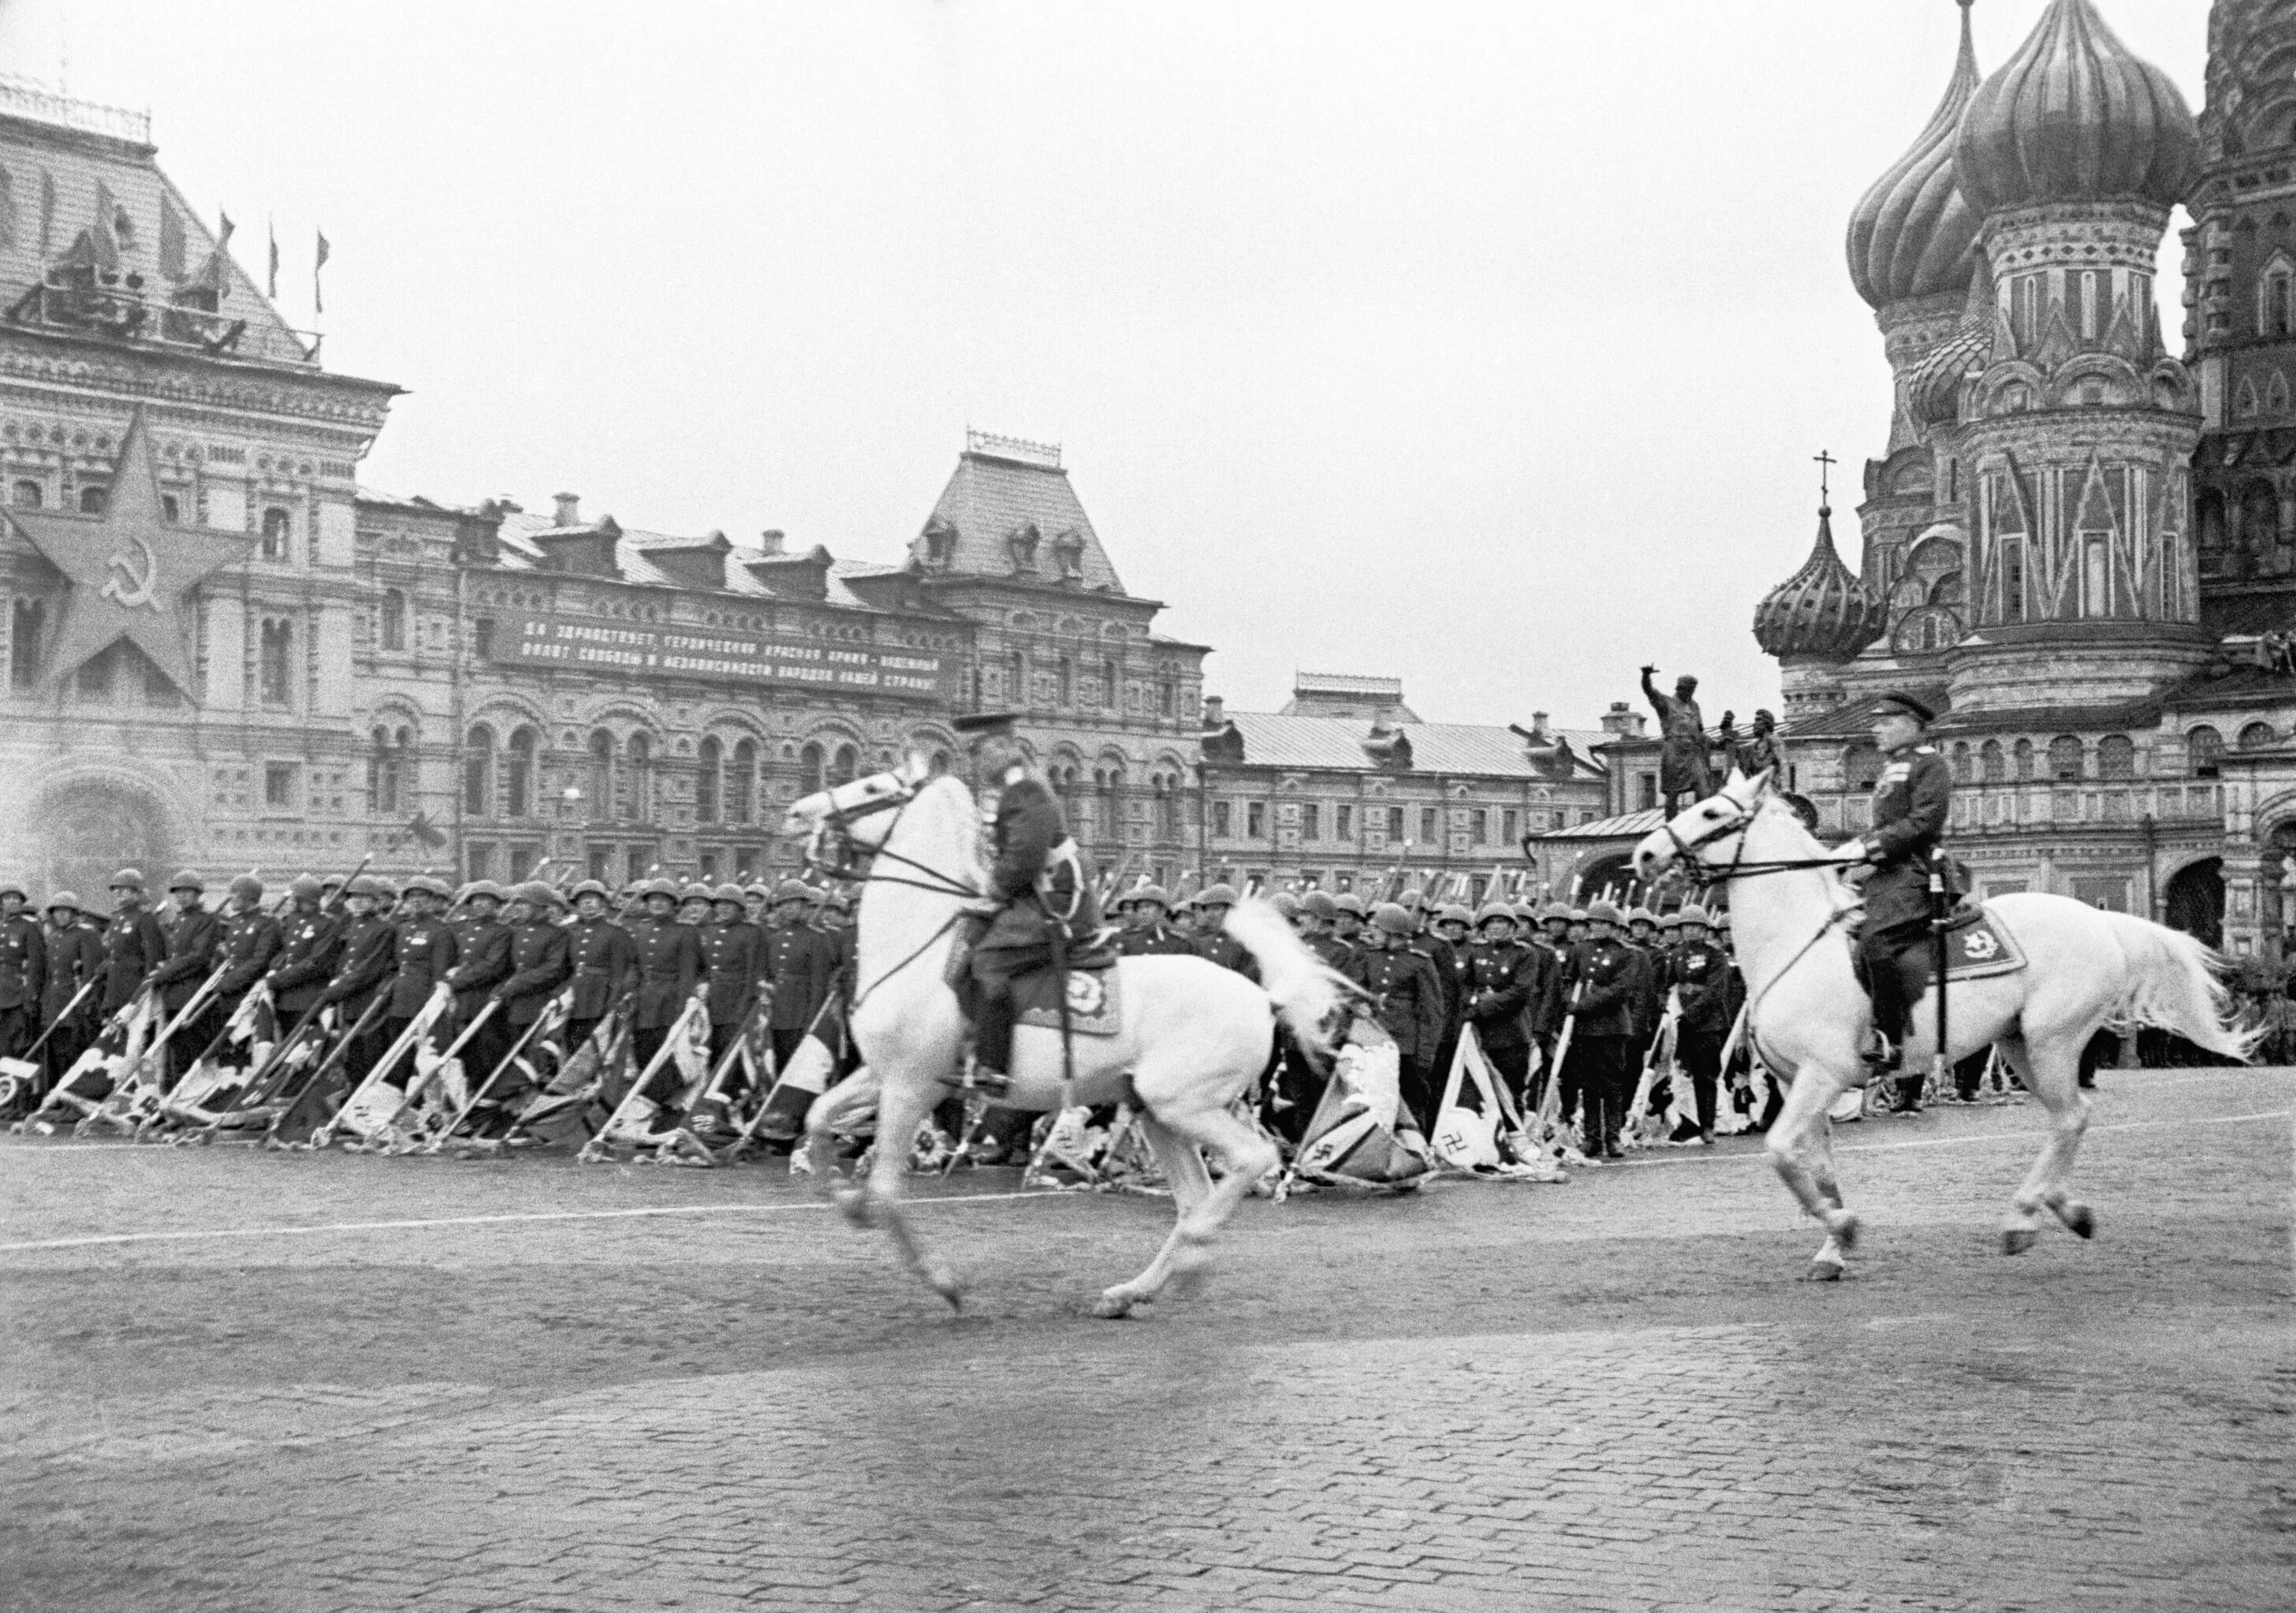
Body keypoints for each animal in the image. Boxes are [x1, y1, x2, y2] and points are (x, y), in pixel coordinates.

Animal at [781, 752, 1350, 1321]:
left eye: (873, 787)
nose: (796, 813)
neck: (920, 950)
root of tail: (1263, 996)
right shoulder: (882, 1075)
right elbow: (818, 1117)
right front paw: (843, 1198)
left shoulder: (912, 1086)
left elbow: (884, 1192)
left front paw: (942, 1280)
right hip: (1158, 1112)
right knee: (1193, 1197)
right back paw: (1133, 1290)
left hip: (1185, 1103)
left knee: (1253, 1162)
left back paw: (1194, 1252)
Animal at [1634, 770, 2259, 1284]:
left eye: (1712, 813)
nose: (1644, 854)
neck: (1797, 944)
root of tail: (2099, 919)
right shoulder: (1796, 1081)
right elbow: (1816, 1165)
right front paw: (1834, 1246)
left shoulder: (1823, 1074)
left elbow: (1781, 1152)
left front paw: (1845, 1227)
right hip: (2020, 1045)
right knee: (2069, 1118)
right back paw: (2064, 1210)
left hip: (2053, 1041)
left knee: (2071, 1118)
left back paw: (2024, 1219)